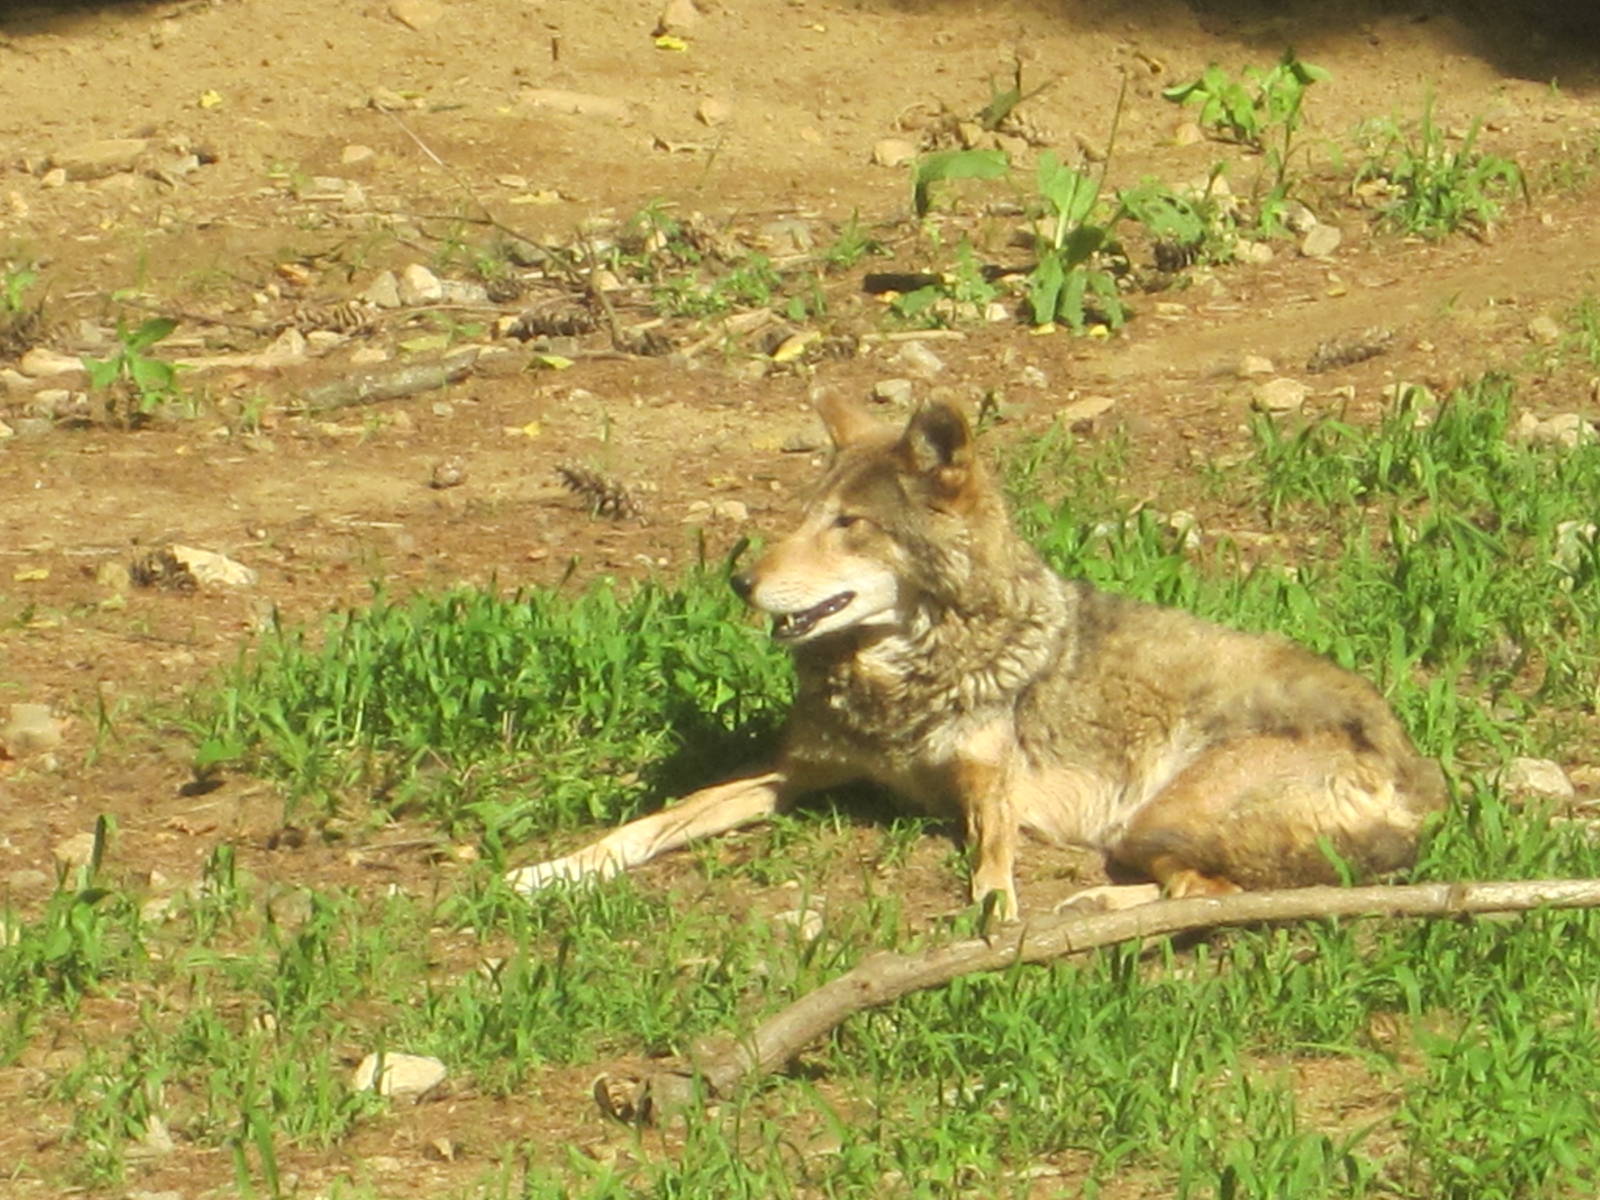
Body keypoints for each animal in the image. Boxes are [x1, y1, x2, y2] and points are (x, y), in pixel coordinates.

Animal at [507, 395, 1447, 918]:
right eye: (803, 517)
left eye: (849, 525)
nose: (740, 581)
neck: (900, 680)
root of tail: (1424, 782)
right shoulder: (792, 773)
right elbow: (654, 822)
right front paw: (555, 869)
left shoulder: (992, 784)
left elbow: (993, 859)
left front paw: (996, 916)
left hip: (1158, 814)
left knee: (1216, 894)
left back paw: (1093, 906)